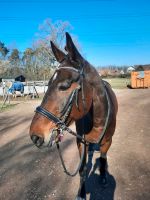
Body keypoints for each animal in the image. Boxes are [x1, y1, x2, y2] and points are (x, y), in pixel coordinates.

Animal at [29, 32, 118, 199]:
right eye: (47, 84)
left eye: (64, 86)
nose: (35, 136)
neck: (98, 118)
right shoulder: (81, 142)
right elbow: (82, 169)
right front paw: (81, 193)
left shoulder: (107, 142)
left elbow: (103, 159)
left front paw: (103, 177)